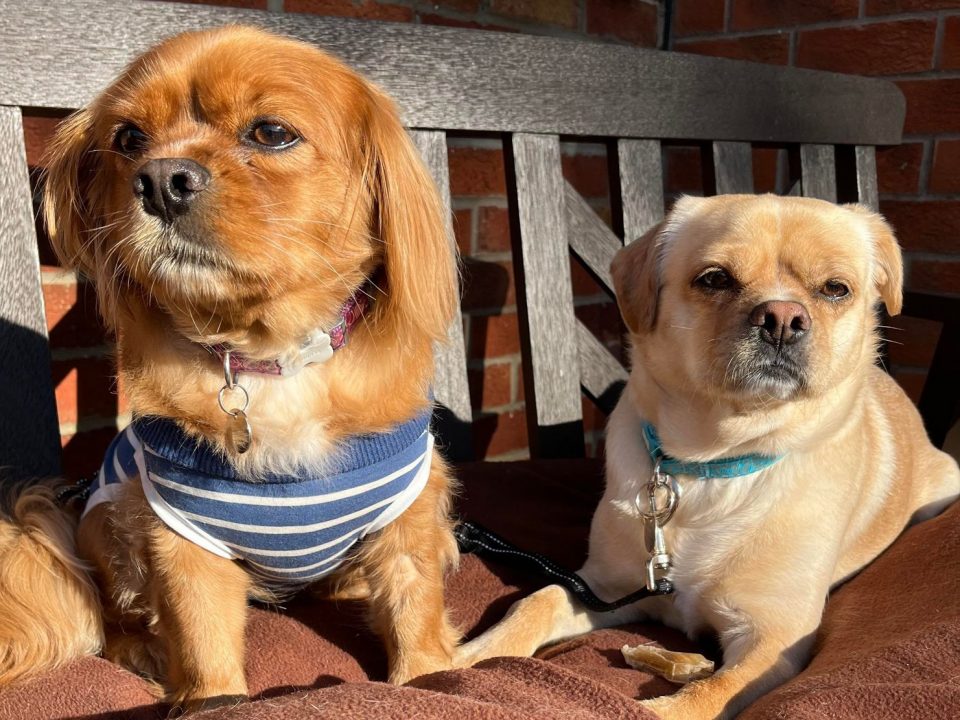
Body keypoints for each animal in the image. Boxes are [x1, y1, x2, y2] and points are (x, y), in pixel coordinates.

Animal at [0, 25, 462, 712]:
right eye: (129, 139)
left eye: (271, 132)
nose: (160, 180)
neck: (272, 362)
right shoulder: (182, 537)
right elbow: (203, 639)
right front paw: (210, 699)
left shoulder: (408, 512)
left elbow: (415, 609)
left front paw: (429, 679)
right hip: (106, 521)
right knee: (113, 614)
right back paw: (141, 649)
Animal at [456, 195, 960, 720]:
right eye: (715, 279)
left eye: (836, 289)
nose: (783, 317)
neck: (715, 462)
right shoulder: (604, 587)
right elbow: (537, 602)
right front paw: (461, 657)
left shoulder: (769, 642)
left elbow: (699, 699)